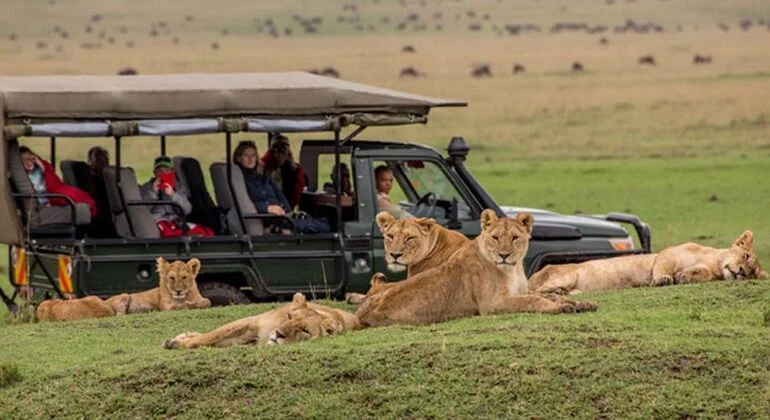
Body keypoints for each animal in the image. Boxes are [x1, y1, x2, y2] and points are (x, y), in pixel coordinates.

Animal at [163, 293, 361, 349]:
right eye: (289, 317)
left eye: (304, 331)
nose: (278, 334)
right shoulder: (251, 323)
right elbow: (211, 336)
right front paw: (178, 342)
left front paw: (179, 343)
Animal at [355, 210, 597, 327]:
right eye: (496, 238)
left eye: (515, 238)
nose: (504, 255)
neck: (512, 269)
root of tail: (361, 314)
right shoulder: (491, 305)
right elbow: (534, 300)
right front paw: (561, 307)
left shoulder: (522, 290)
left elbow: (548, 295)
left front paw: (580, 303)